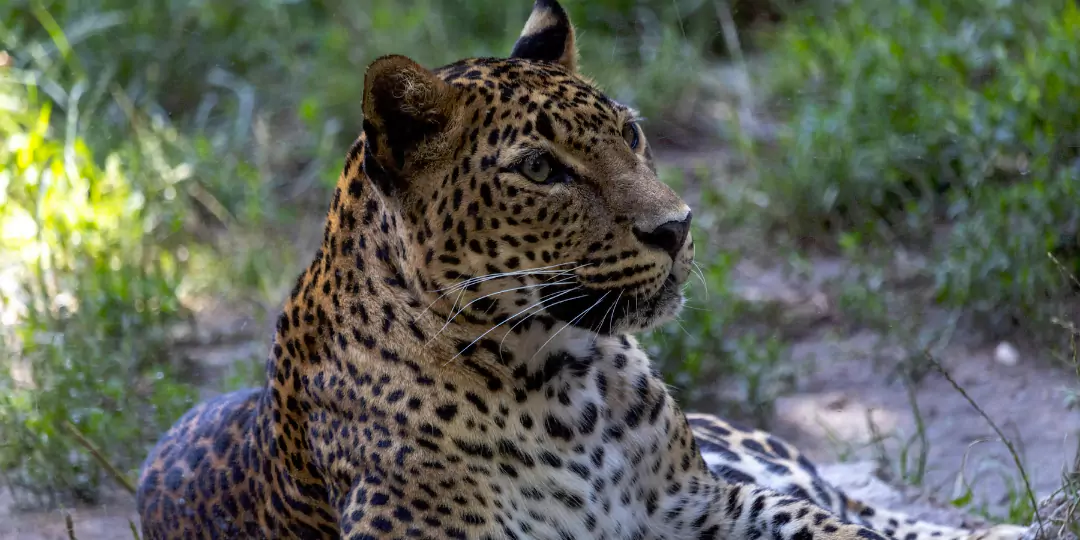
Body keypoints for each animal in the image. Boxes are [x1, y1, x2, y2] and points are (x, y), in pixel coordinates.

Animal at [134, 1, 1032, 539]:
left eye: (629, 133)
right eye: (541, 170)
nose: (676, 228)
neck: (561, 380)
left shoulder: (699, 501)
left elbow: (825, 526)